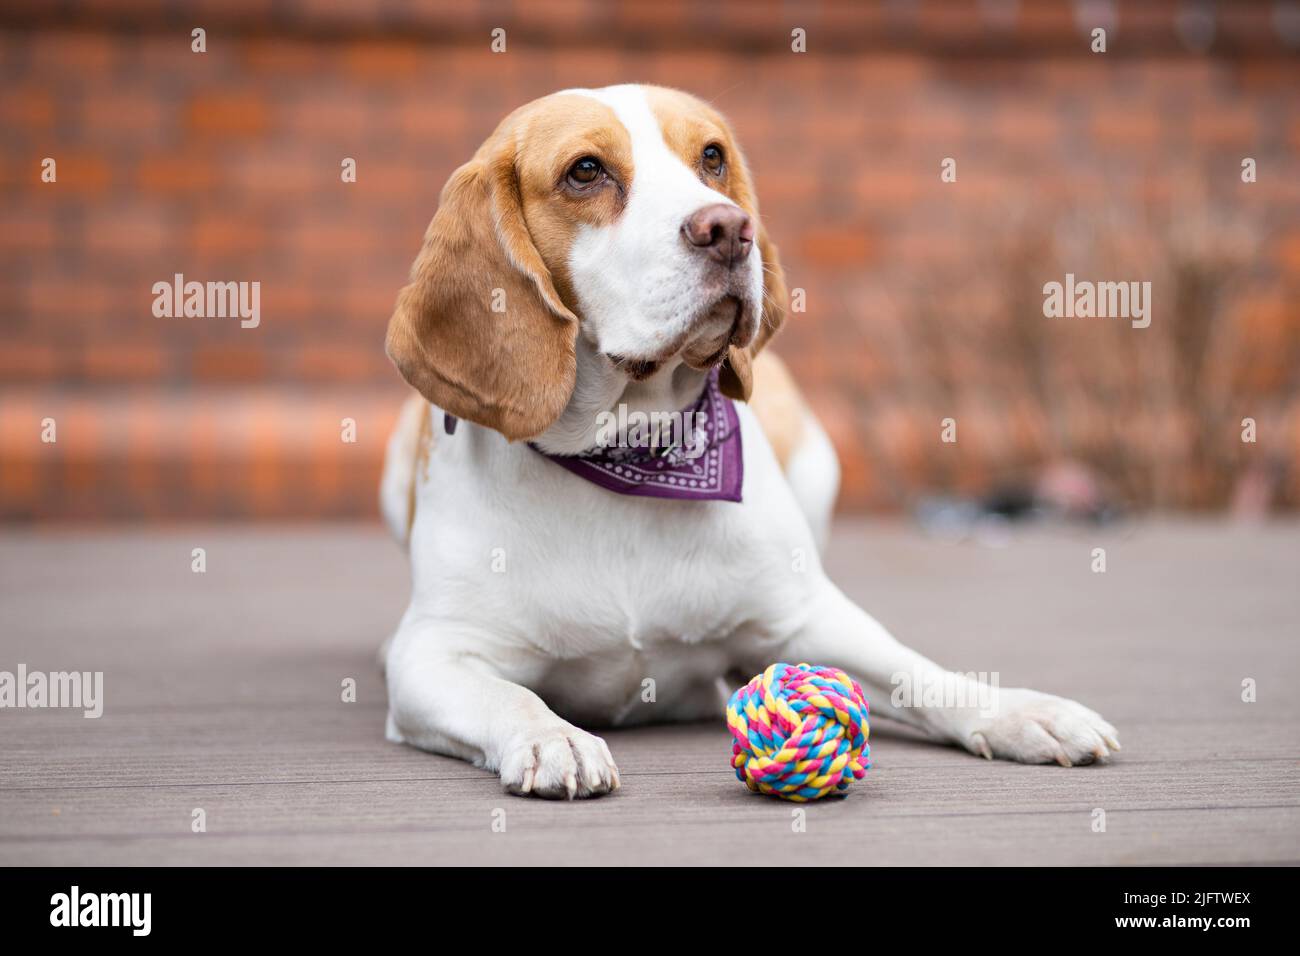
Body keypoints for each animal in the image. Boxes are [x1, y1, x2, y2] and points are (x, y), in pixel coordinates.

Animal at [377, 83, 1118, 801]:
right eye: (585, 171)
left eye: (712, 157)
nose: (729, 229)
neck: (632, 456)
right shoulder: (433, 655)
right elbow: (509, 697)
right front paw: (553, 737)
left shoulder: (805, 619)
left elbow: (922, 672)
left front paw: (1021, 711)